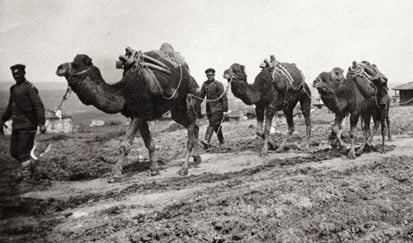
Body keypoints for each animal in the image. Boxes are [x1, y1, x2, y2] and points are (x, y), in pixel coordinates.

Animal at [56, 46, 201, 181]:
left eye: (76, 64)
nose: (59, 67)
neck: (123, 93)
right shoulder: (139, 115)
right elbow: (150, 144)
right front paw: (154, 170)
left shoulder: (138, 114)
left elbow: (124, 145)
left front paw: (115, 175)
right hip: (176, 109)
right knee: (193, 126)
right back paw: (197, 158)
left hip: (188, 98)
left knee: (191, 127)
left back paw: (184, 169)